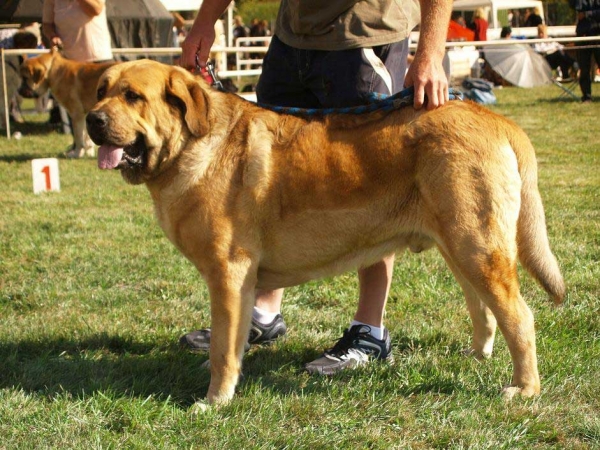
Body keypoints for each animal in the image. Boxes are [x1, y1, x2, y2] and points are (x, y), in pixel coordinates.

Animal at [86, 58, 564, 406]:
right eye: (100, 91)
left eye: (132, 96)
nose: (92, 120)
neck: (191, 146)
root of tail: (496, 119)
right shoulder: (240, 283)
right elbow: (232, 339)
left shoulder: (228, 273)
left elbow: (223, 346)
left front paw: (214, 400)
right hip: (461, 246)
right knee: (484, 309)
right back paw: (477, 354)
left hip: (476, 247)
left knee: (519, 316)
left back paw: (524, 389)